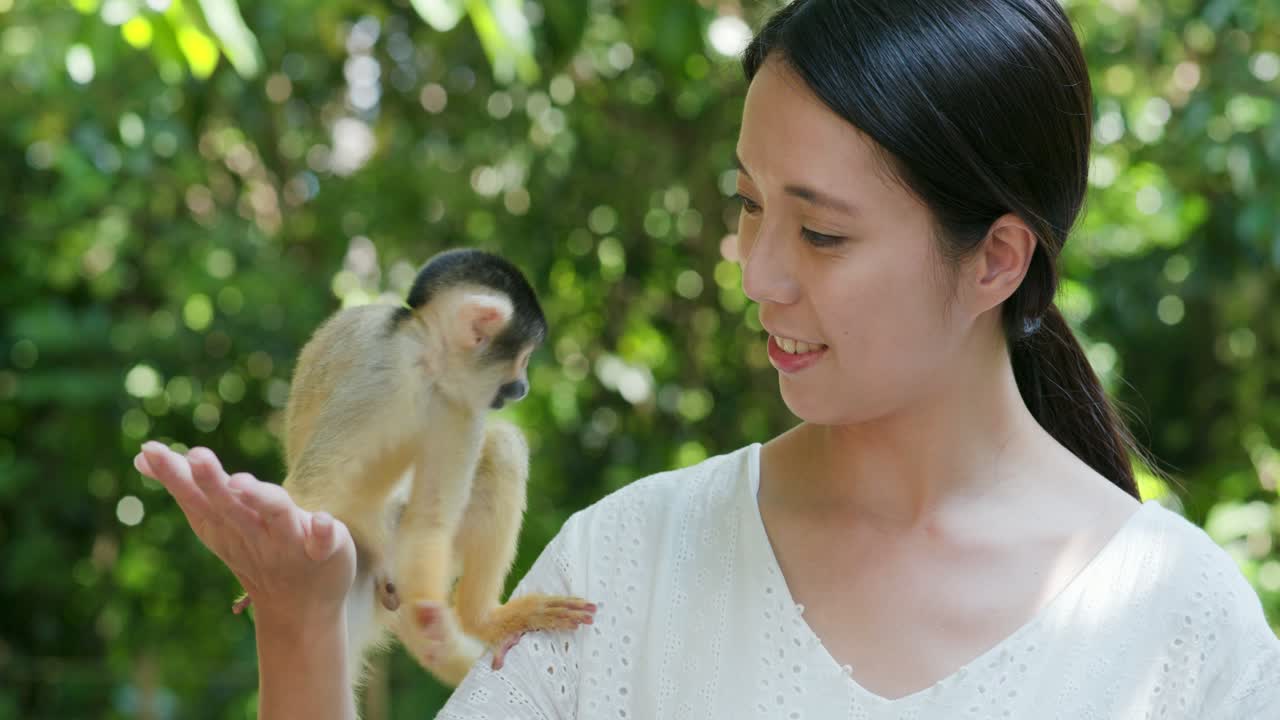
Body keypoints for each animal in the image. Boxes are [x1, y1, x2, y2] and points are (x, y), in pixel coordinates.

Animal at [235, 248, 596, 689]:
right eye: (523, 360)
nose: (523, 387)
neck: (426, 358)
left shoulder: (460, 404)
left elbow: (432, 517)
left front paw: (454, 620)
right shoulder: (381, 376)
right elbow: (313, 486)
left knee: (500, 450)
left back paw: (479, 618)